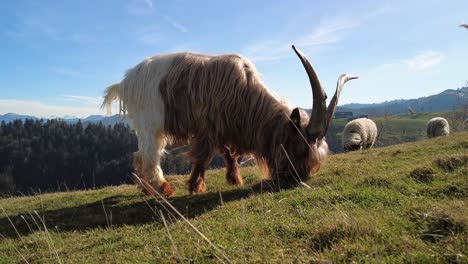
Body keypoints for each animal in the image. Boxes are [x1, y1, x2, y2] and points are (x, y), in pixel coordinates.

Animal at [103, 45, 358, 195]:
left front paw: (234, 179)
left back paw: (146, 188)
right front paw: (196, 186)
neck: (245, 92)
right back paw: (161, 187)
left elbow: (229, 153)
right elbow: (203, 157)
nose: (294, 180)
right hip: (150, 122)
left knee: (138, 154)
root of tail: (125, 82)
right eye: (298, 146)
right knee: (149, 155)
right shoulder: (208, 127)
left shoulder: (228, 125)